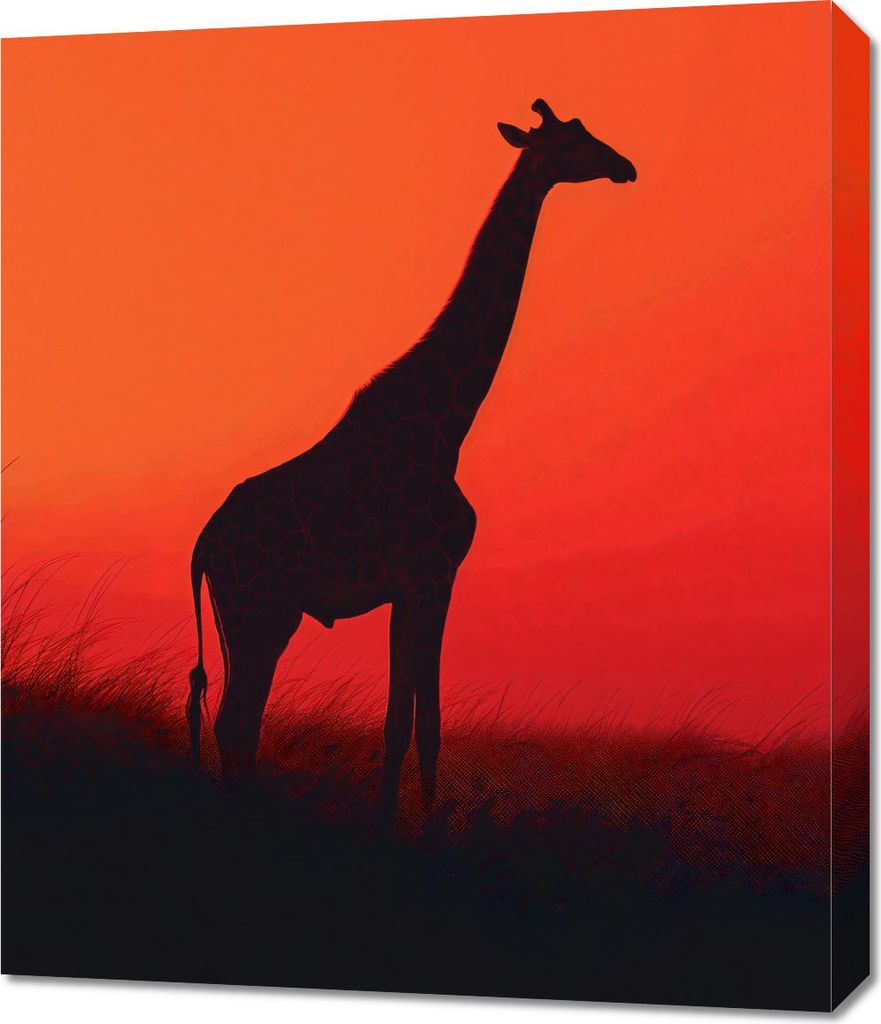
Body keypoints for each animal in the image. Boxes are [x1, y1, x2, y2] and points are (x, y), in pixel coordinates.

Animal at [187, 98, 636, 815]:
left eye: (586, 132)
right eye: (571, 142)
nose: (625, 166)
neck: (447, 423)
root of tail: (203, 544)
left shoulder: (411, 586)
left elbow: (408, 722)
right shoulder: (433, 574)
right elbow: (420, 725)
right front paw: (411, 830)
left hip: (245, 614)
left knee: (238, 723)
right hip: (262, 608)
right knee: (236, 721)